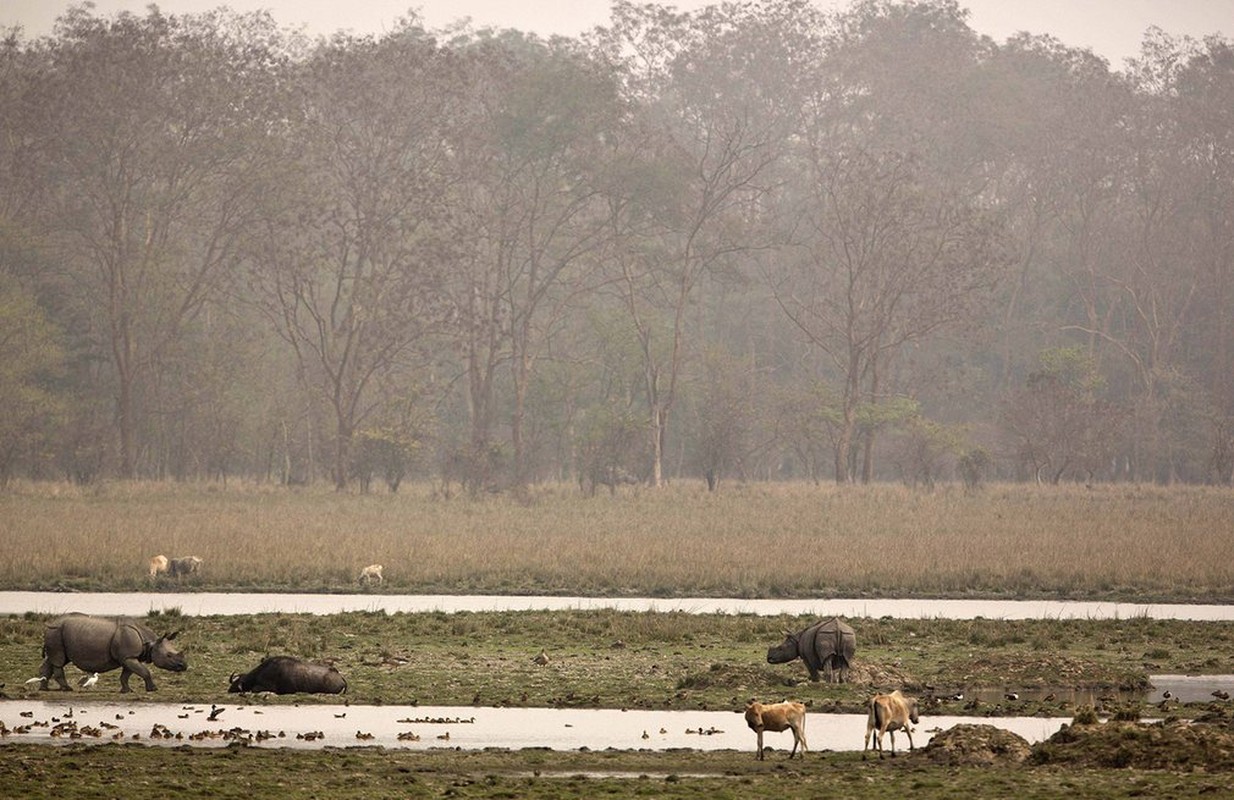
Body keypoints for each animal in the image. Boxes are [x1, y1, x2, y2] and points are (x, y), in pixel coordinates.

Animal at [40, 612, 185, 691]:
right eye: (169, 655)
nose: (184, 666)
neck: (151, 643)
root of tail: (49, 624)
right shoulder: (128, 657)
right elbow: (144, 671)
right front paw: (153, 689)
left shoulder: (129, 657)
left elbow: (126, 675)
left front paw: (127, 690)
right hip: (56, 631)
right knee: (58, 660)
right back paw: (67, 689)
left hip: (58, 633)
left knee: (55, 660)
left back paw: (44, 689)